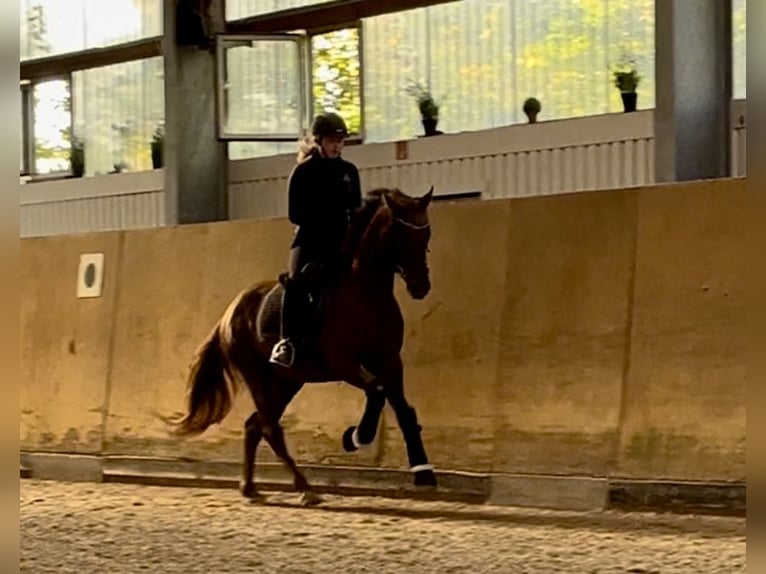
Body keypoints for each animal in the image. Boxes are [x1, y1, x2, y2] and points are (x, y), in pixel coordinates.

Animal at [175, 187, 438, 506]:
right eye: (401, 234)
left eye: (426, 235)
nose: (420, 286)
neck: (366, 294)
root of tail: (229, 313)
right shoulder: (343, 362)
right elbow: (376, 392)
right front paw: (355, 437)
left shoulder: (389, 361)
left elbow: (403, 410)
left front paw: (424, 471)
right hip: (256, 375)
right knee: (270, 428)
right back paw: (305, 489)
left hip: (288, 381)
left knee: (254, 426)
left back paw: (250, 488)